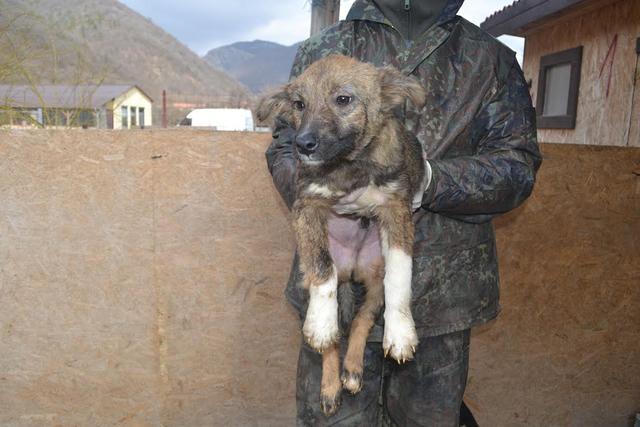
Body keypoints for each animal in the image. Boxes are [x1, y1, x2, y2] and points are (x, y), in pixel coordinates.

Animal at [255, 54, 424, 418]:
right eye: (299, 104)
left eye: (343, 99)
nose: (303, 145)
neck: (348, 165)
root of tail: (353, 271)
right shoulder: (307, 206)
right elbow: (322, 267)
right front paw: (320, 323)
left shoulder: (397, 209)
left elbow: (401, 274)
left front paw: (401, 331)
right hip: (311, 279)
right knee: (334, 338)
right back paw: (332, 383)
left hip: (374, 281)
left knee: (362, 320)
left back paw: (353, 370)